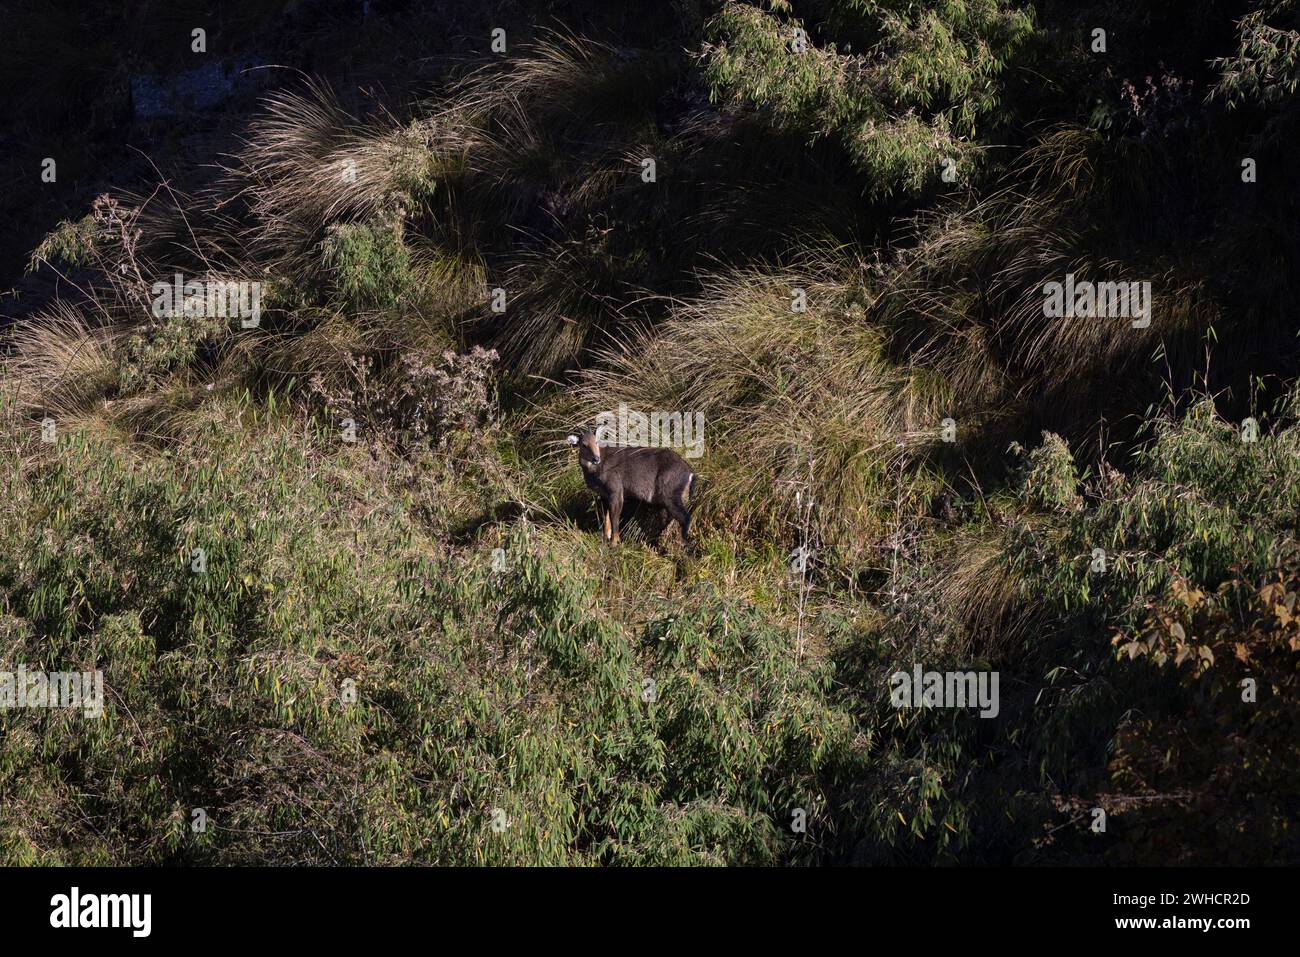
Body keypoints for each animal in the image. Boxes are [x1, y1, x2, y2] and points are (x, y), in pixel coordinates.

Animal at [564, 429, 696, 546]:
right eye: (584, 445)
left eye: (596, 442)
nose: (596, 458)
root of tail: (690, 472)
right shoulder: (604, 494)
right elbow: (606, 517)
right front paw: (606, 537)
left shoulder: (616, 491)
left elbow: (615, 518)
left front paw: (614, 543)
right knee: (669, 519)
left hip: (670, 495)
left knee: (685, 518)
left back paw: (681, 544)